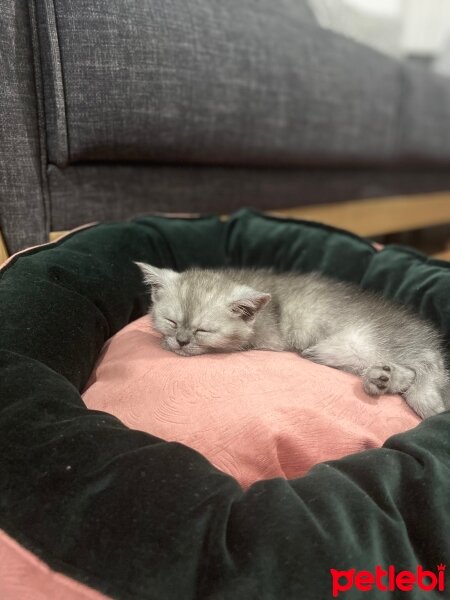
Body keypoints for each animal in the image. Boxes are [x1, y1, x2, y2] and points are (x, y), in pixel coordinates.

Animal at [135, 262, 448, 422]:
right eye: (172, 321)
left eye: (203, 330)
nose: (181, 341)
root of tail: (427, 336)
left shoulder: (268, 339)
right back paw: (383, 378)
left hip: (353, 346)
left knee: (422, 368)